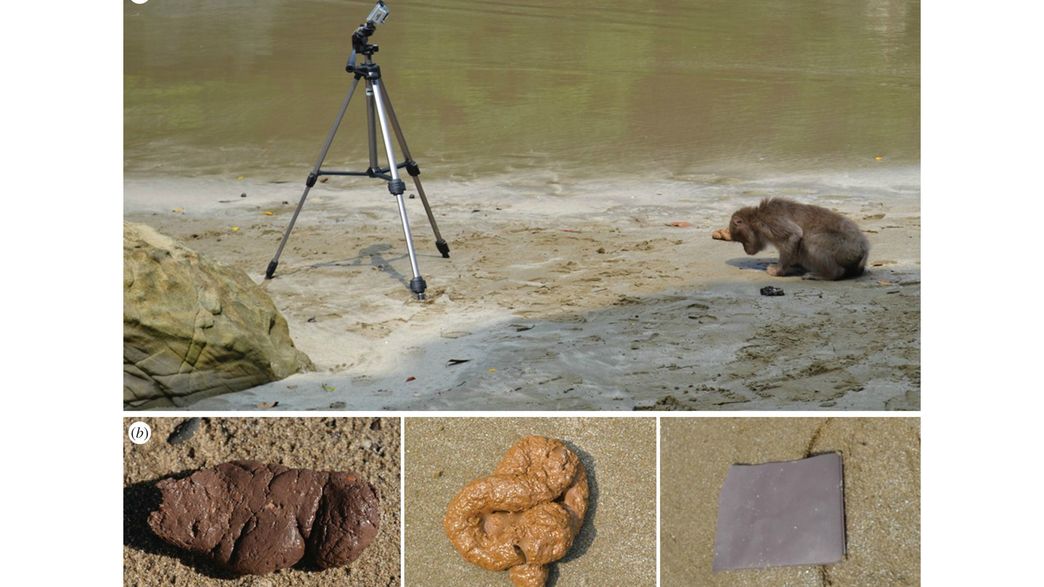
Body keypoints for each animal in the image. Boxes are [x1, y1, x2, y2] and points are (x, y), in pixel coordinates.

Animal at [712, 198, 870, 280]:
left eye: (741, 240)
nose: (746, 250)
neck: (756, 217)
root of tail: (864, 250)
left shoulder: (769, 220)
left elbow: (793, 235)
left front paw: (778, 271)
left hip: (845, 250)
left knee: (811, 241)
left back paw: (827, 274)